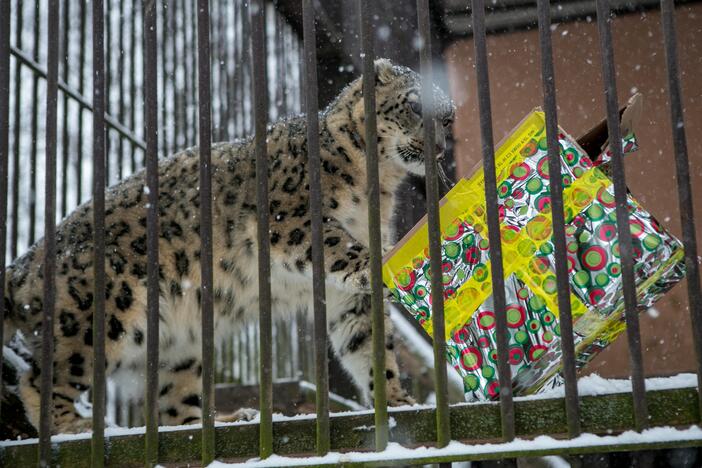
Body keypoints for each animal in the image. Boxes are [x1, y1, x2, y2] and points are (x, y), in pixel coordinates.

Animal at [1, 58, 456, 436]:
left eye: (449, 118)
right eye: (415, 106)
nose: (439, 146)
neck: (377, 186)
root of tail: (24, 263)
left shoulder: (346, 299)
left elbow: (368, 344)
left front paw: (397, 399)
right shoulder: (292, 220)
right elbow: (337, 245)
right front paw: (376, 262)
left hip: (179, 349)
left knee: (173, 405)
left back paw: (226, 418)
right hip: (98, 315)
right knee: (43, 377)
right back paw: (72, 426)